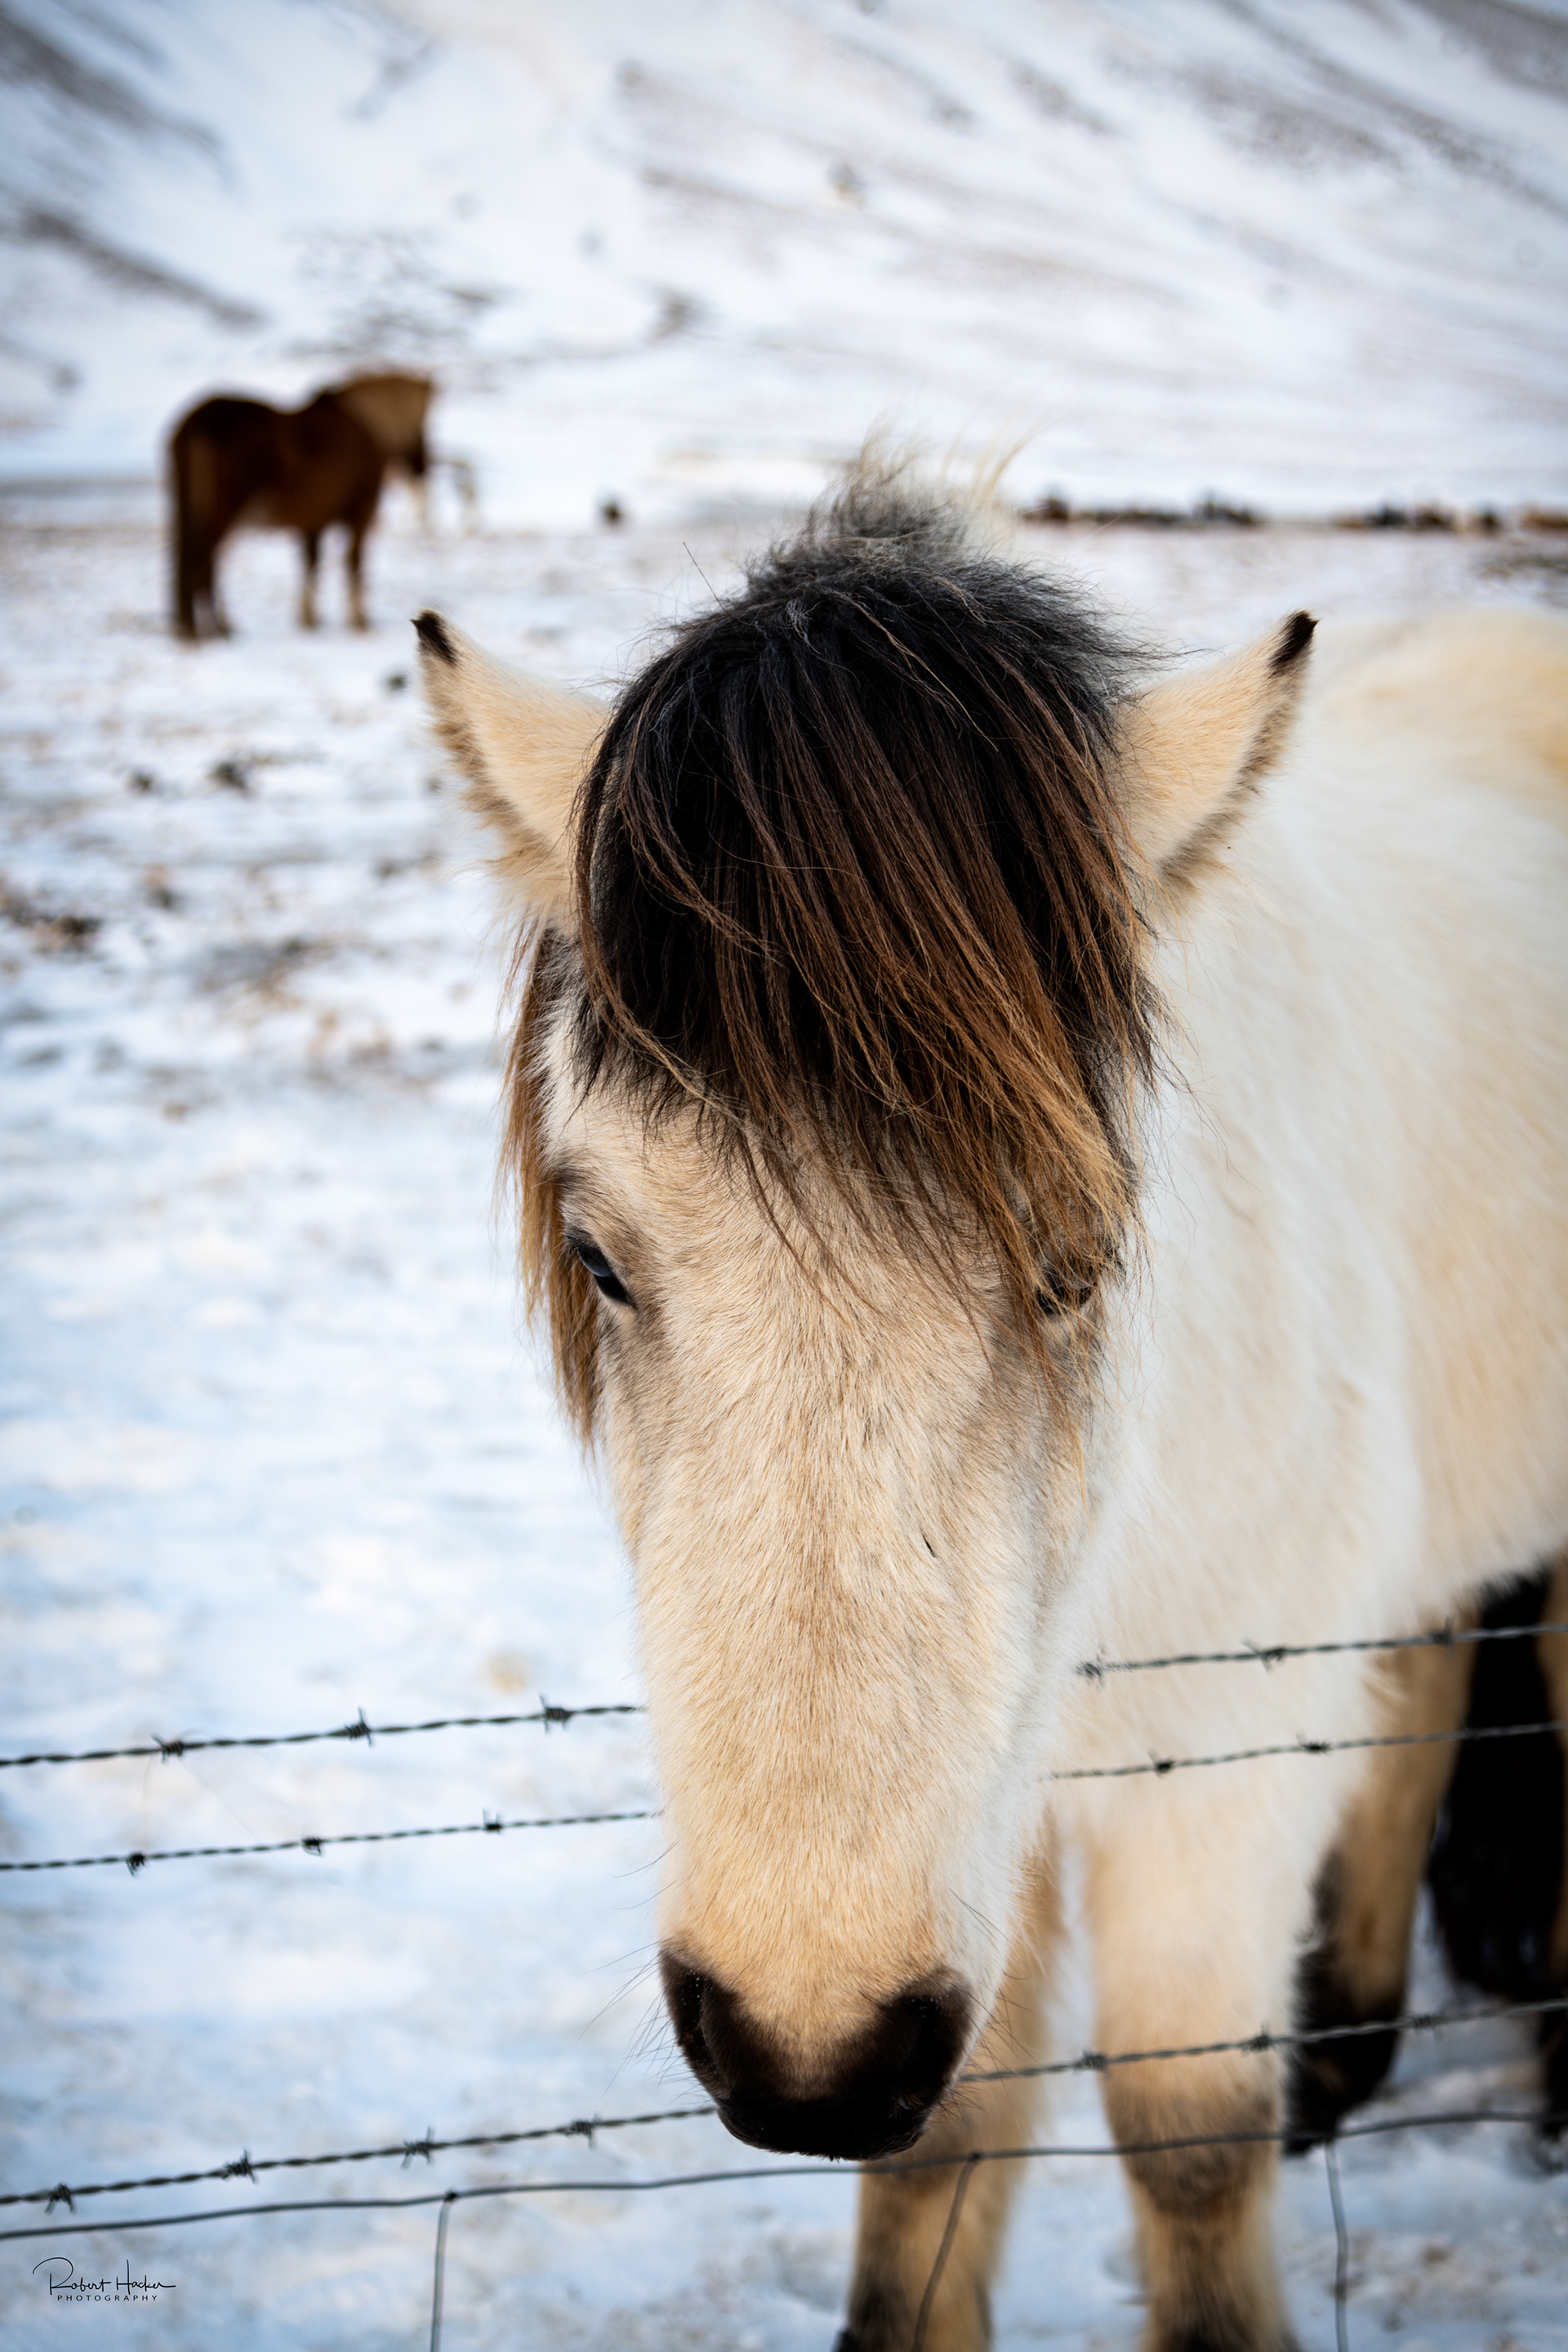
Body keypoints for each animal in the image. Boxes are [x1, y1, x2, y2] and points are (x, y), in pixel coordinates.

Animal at [168, 371, 434, 641]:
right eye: (424, 425)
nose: (424, 467)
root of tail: (201, 423)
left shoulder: (313, 522)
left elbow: (311, 564)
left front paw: (309, 618)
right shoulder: (361, 516)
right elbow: (352, 563)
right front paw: (358, 619)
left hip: (189, 509)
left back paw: (206, 626)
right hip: (222, 516)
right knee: (203, 565)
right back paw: (212, 629)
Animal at [416, 457, 1568, 2352]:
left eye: (1081, 1261)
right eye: (598, 1256)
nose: (802, 2051)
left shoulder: (1219, 1770)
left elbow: (1188, 2139)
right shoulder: (970, 1853)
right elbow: (940, 2171)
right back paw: (1351, 2046)